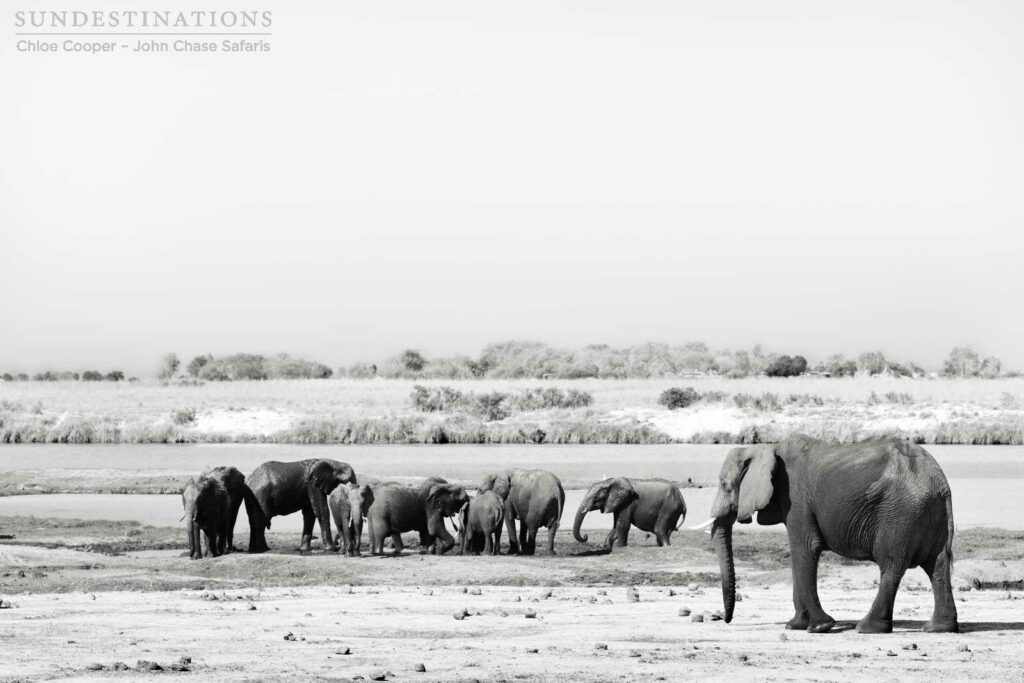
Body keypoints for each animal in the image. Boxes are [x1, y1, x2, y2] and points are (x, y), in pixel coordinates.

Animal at [694, 434, 958, 634]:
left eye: (725, 485)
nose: (725, 619)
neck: (766, 447)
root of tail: (940, 481)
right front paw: (795, 626)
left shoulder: (796, 499)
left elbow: (804, 549)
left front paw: (821, 626)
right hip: (926, 513)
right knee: (938, 565)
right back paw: (938, 628)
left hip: (900, 513)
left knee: (892, 566)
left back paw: (867, 628)